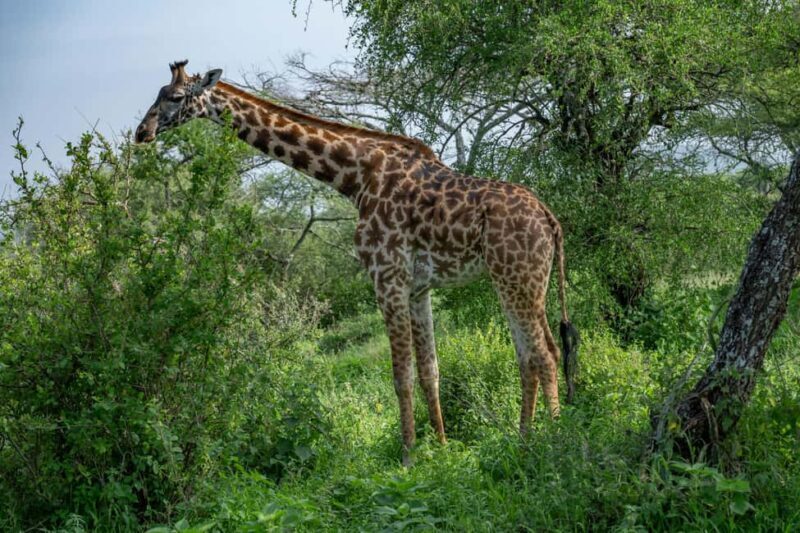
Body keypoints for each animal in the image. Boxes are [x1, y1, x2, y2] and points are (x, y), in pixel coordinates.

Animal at [135, 60, 579, 466]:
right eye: (158, 93)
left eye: (176, 97)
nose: (142, 133)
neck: (354, 178)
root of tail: (551, 219)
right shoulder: (418, 287)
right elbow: (429, 371)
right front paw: (442, 447)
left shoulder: (386, 277)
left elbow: (400, 375)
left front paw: (408, 457)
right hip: (520, 282)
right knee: (533, 354)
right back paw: (523, 438)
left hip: (516, 278)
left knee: (543, 354)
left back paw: (553, 439)